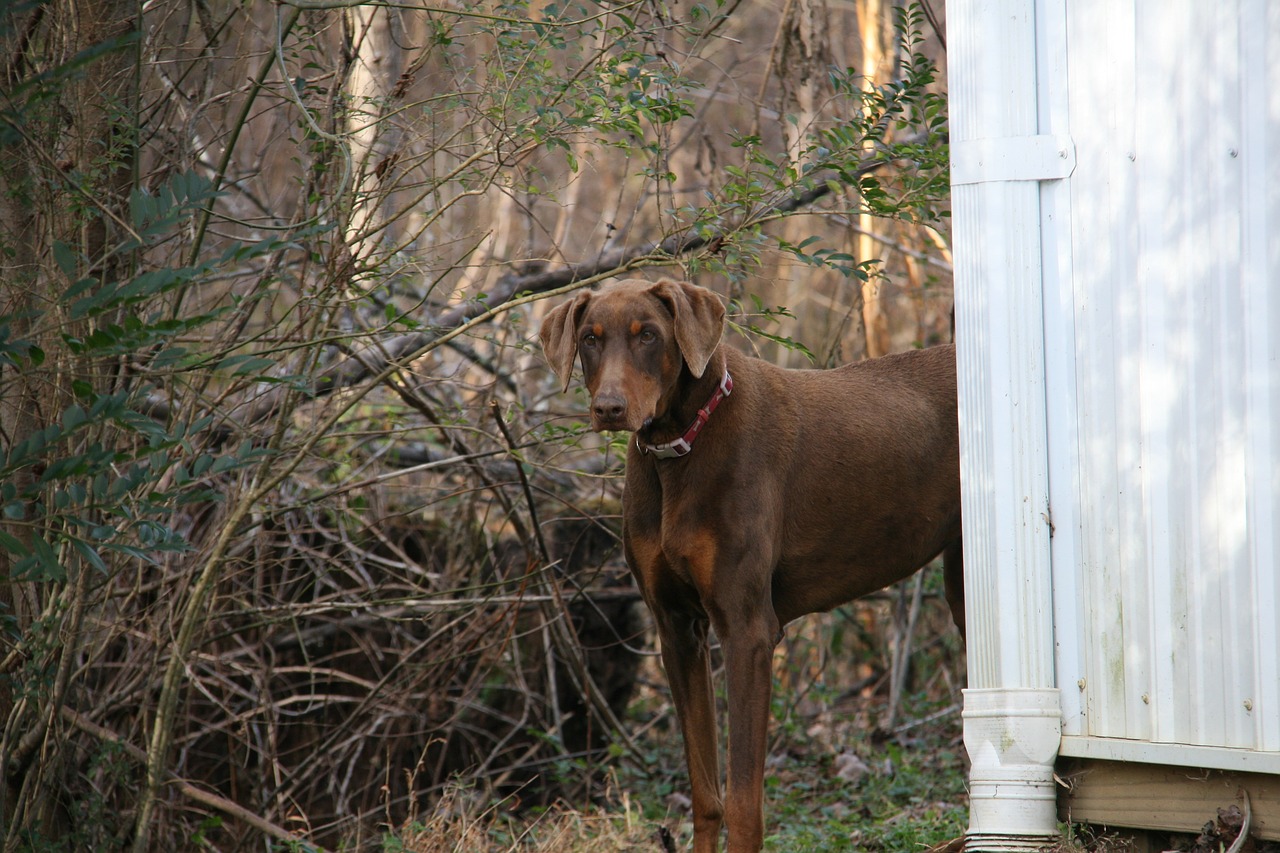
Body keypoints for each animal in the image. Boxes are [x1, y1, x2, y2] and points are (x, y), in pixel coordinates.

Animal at [537, 275, 962, 845]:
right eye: (589, 338)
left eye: (648, 335)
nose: (609, 407)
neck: (679, 450)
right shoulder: (677, 630)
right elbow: (706, 794)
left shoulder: (748, 631)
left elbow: (744, 802)